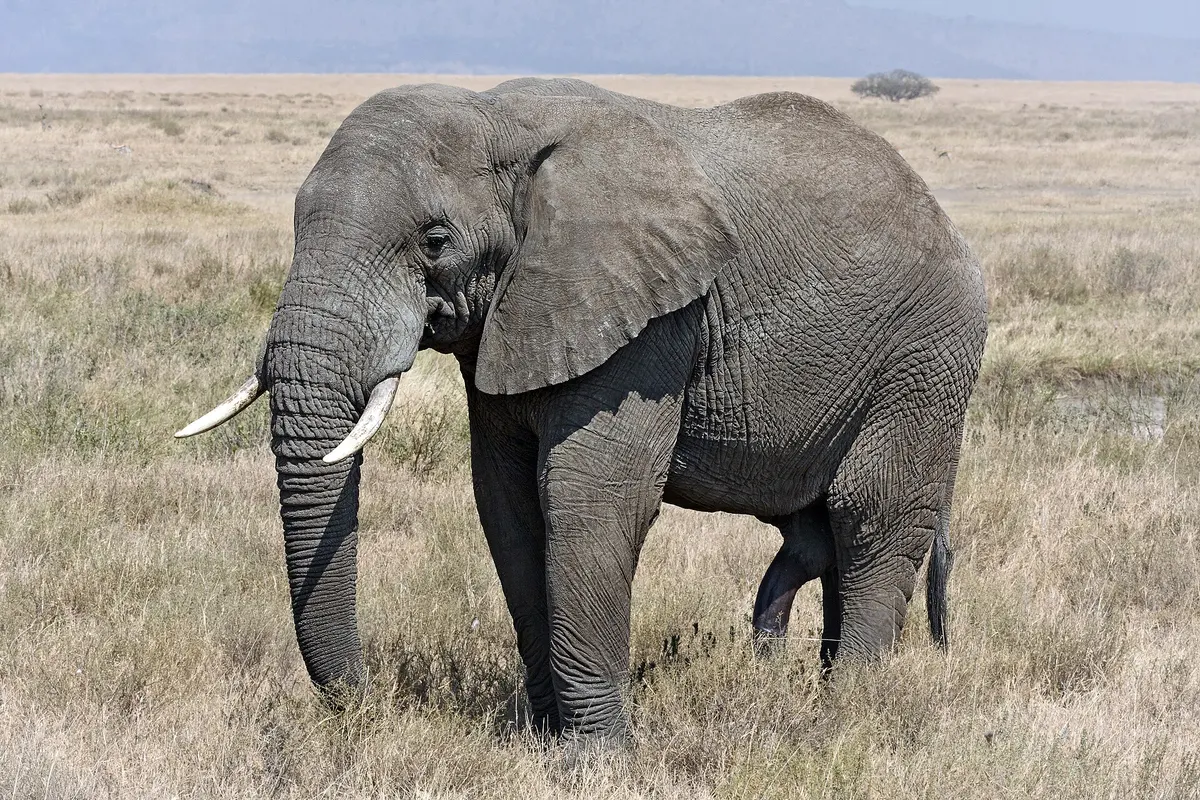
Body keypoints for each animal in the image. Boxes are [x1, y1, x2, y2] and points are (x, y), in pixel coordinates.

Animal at [177, 77, 987, 742]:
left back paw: (844, 714)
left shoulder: (650, 319)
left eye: (435, 240)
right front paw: (540, 739)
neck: (497, 118)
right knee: (818, 534)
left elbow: (587, 498)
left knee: (870, 519)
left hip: (925, 357)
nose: (363, 703)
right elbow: (507, 505)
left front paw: (597, 757)